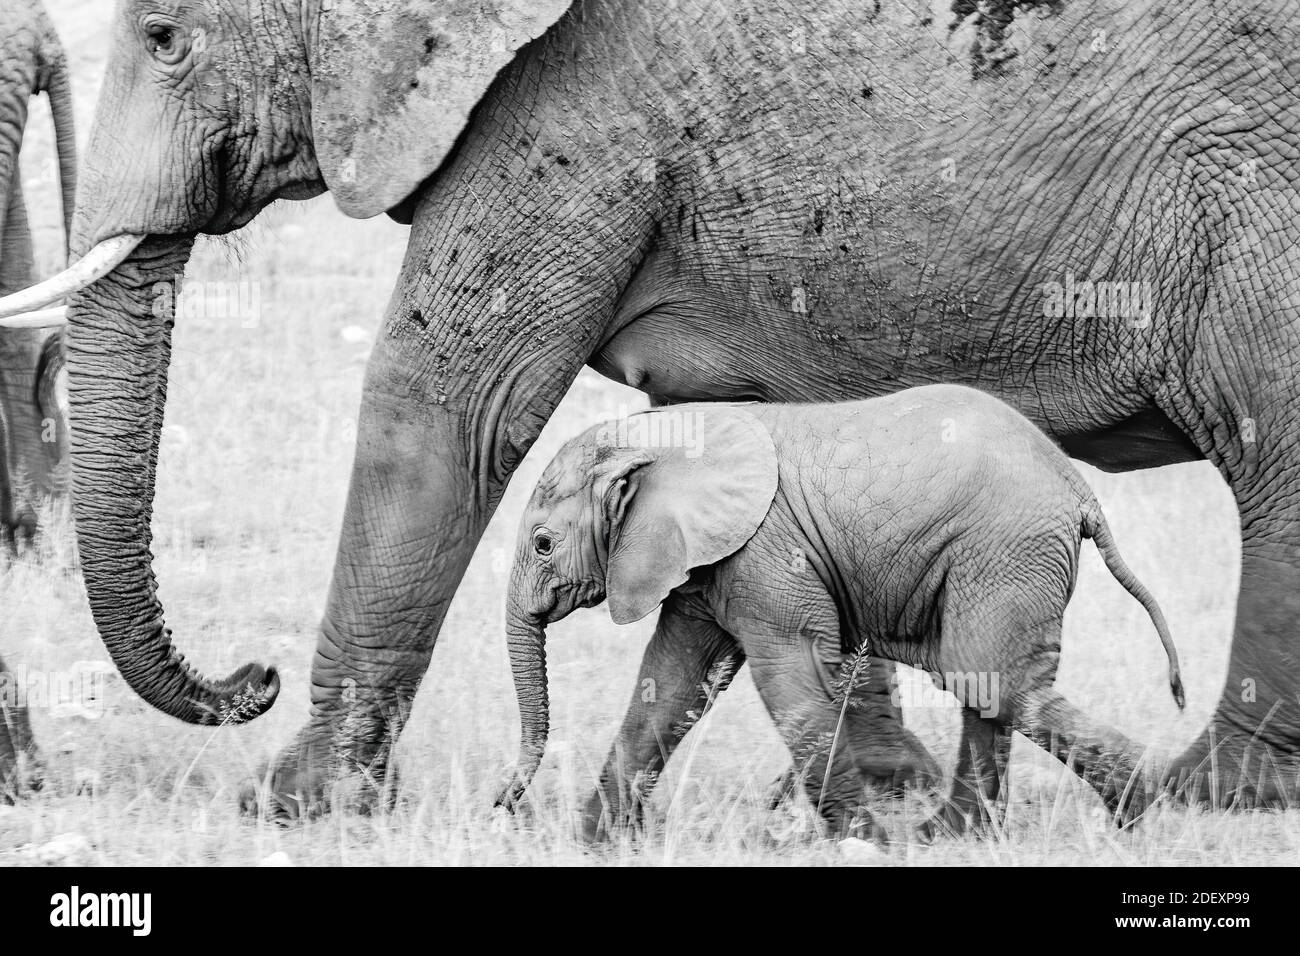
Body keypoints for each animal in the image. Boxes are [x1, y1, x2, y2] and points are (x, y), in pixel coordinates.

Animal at [493, 385, 1180, 842]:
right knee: (987, 686)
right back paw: (952, 838)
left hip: (1004, 548)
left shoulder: (765, 553)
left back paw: (1135, 812)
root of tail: (1080, 490)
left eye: (543, 544)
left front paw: (860, 841)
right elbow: (670, 684)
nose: (504, 804)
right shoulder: (705, 562)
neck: (658, 438)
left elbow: (789, 682)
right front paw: (590, 844)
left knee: (988, 680)